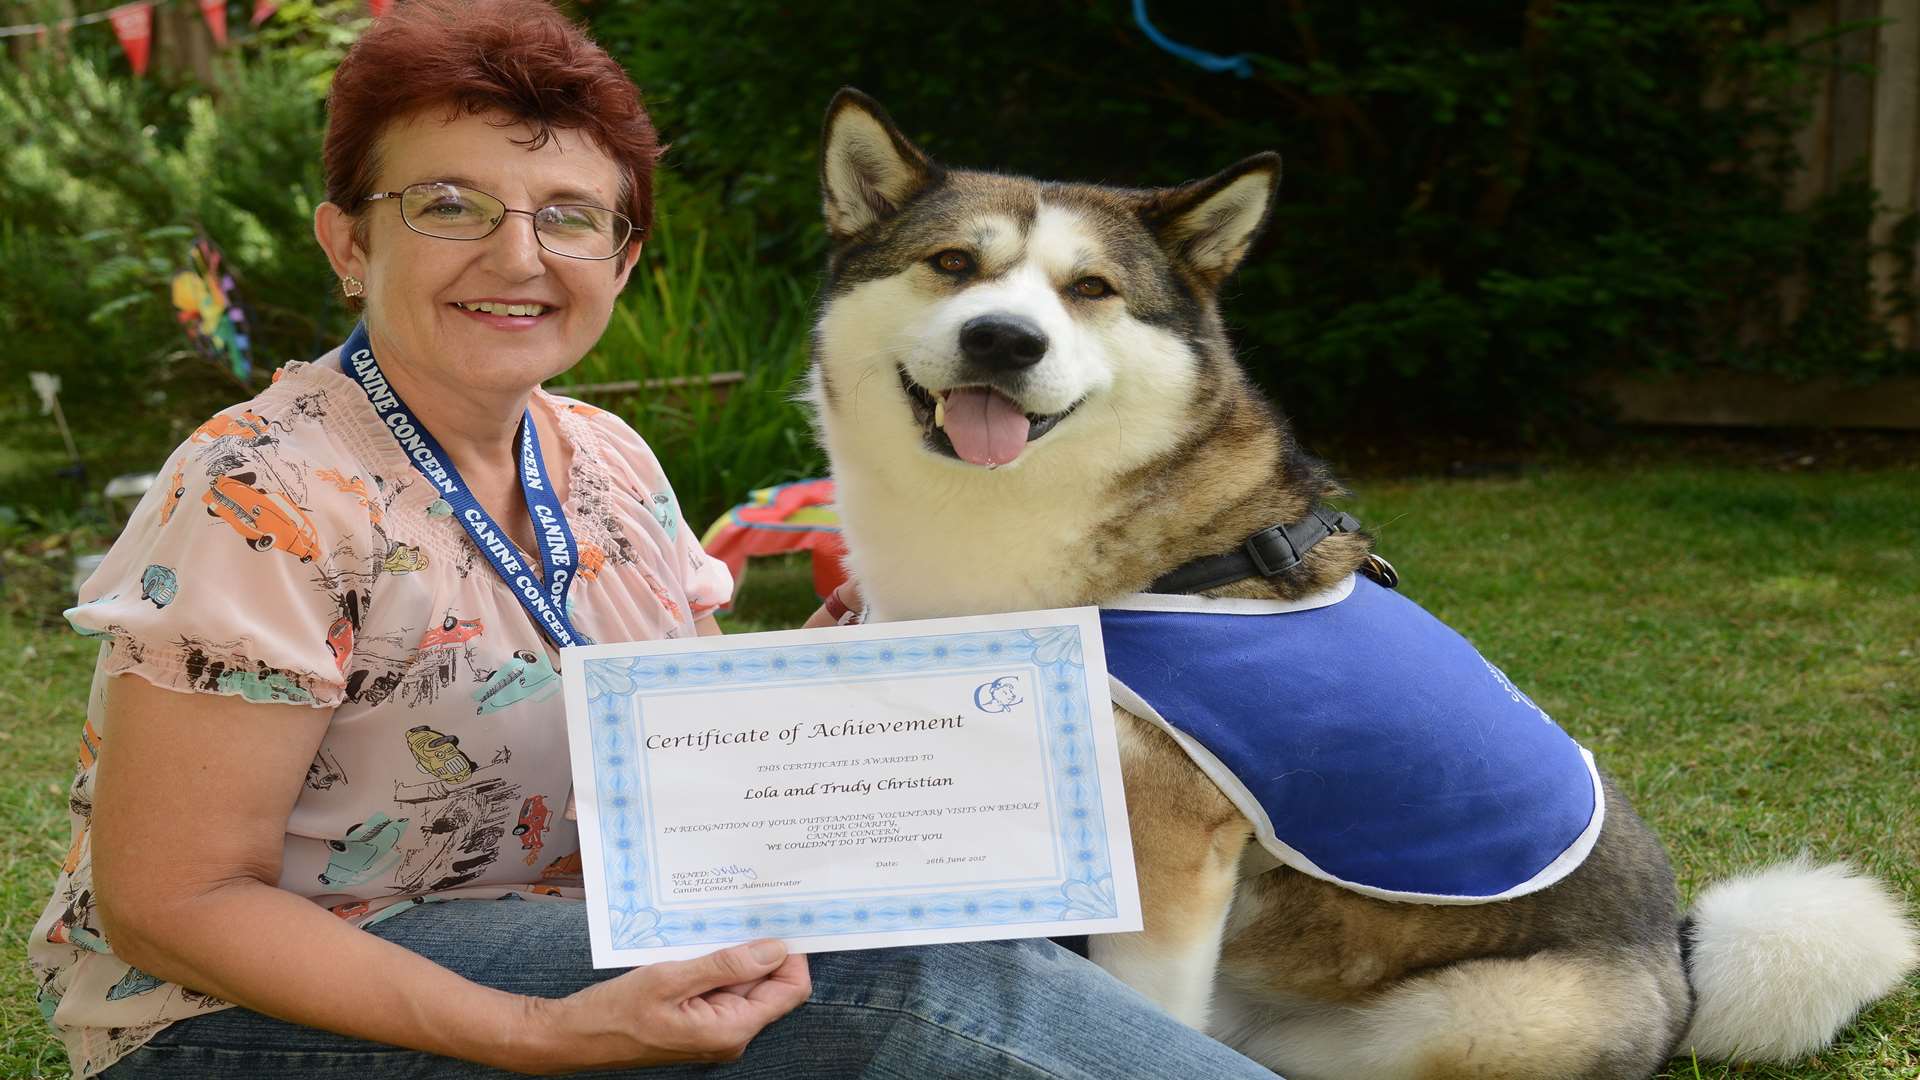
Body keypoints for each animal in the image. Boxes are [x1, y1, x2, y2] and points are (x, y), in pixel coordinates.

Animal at [806, 92, 1920, 1076]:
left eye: (1090, 289)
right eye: (954, 265)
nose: (1004, 338)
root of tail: (1681, 974)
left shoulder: (1168, 840)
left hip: (1463, 1026)